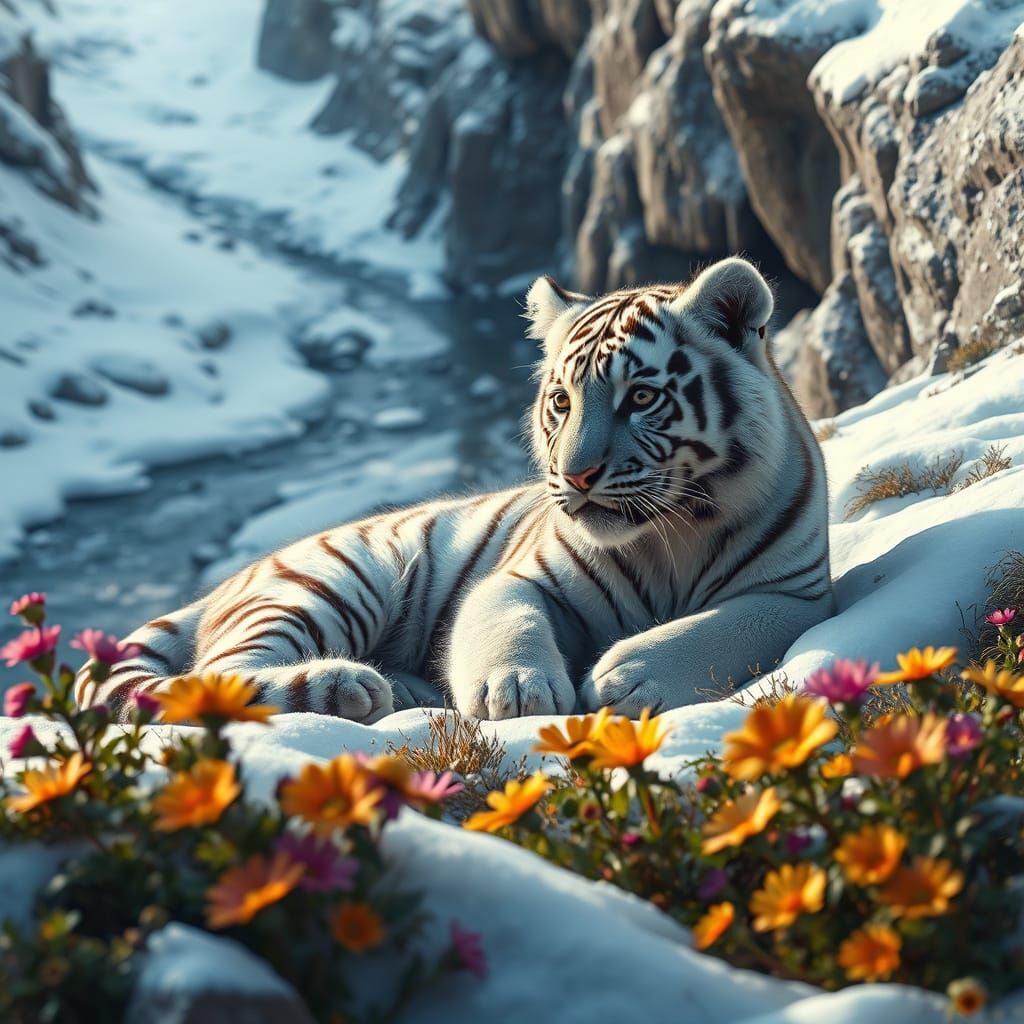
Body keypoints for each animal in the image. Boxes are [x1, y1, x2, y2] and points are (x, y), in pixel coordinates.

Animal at [77, 258, 834, 723]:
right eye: (561, 401)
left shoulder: (797, 593)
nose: (576, 476)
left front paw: (630, 676)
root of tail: (229, 582)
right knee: (212, 677)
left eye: (641, 398)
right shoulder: (523, 576)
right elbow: (507, 616)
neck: (672, 534)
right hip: (327, 585)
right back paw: (347, 686)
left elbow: (729, 624)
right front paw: (517, 690)